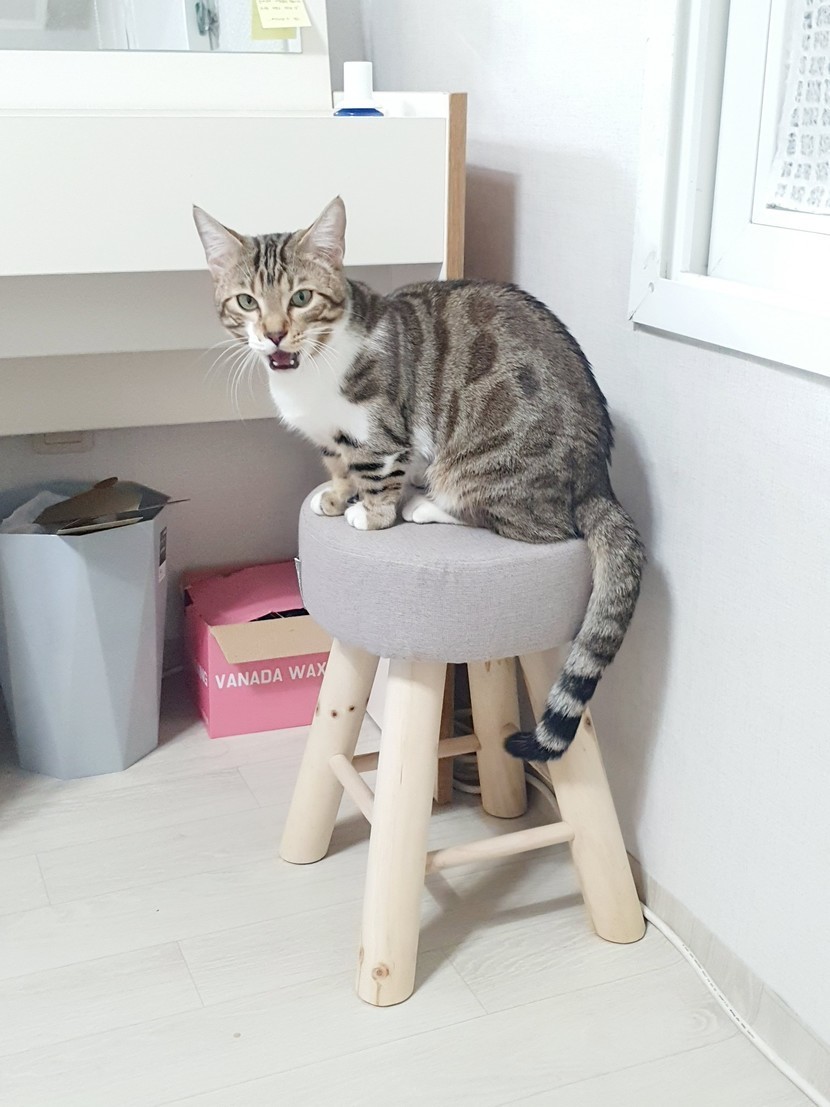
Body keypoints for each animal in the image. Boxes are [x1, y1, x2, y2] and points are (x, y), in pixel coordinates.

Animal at [194, 197, 643, 761]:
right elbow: (336, 463)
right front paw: (336, 496)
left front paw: (370, 513)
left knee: (532, 524)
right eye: (247, 302)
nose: (273, 332)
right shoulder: (331, 438)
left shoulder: (380, 429)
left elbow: (375, 470)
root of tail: (596, 479)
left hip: (486, 465)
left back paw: (427, 504)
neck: (307, 373)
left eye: (301, 297)